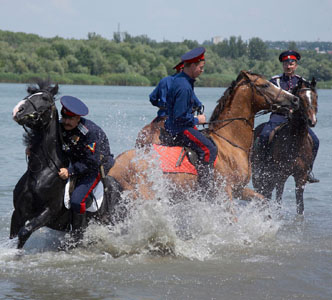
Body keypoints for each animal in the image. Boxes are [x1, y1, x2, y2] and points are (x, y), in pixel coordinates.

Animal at [10, 81, 122, 250]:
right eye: (29, 94)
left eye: (44, 98)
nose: (17, 110)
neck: (42, 171)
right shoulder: (18, 213)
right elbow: (14, 235)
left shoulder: (49, 212)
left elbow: (25, 232)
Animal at [108, 70, 298, 211]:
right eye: (266, 85)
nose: (294, 99)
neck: (230, 143)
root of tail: (115, 165)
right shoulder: (225, 192)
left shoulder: (238, 189)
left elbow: (263, 200)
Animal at [253, 77, 318, 213]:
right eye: (300, 98)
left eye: (315, 97)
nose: (312, 121)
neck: (296, 143)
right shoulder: (281, 177)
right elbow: (278, 203)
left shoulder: (301, 178)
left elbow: (300, 207)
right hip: (259, 175)